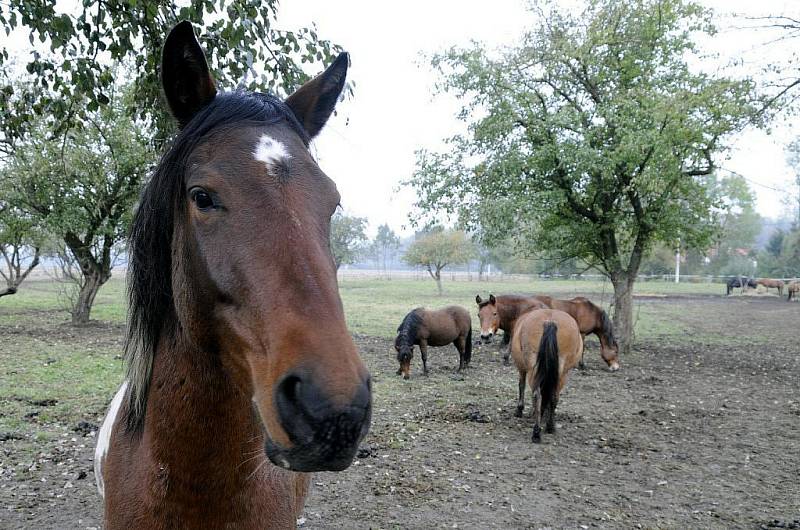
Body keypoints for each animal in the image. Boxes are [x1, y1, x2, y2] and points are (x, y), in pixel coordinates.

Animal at [512, 310, 580, 442]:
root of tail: (550, 321)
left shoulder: (522, 368)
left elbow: (521, 385)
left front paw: (519, 410)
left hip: (534, 369)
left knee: (538, 394)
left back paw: (538, 431)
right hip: (561, 372)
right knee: (552, 395)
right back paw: (548, 427)